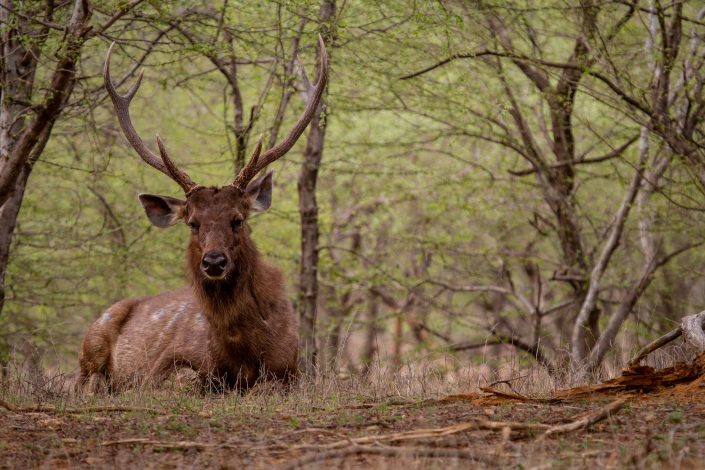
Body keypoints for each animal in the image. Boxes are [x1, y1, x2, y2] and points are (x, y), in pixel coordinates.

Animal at [77, 36, 328, 392]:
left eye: (238, 220)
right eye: (193, 223)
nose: (214, 261)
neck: (241, 350)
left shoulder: (290, 369)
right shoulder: (162, 366)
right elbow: (188, 381)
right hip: (96, 333)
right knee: (84, 380)